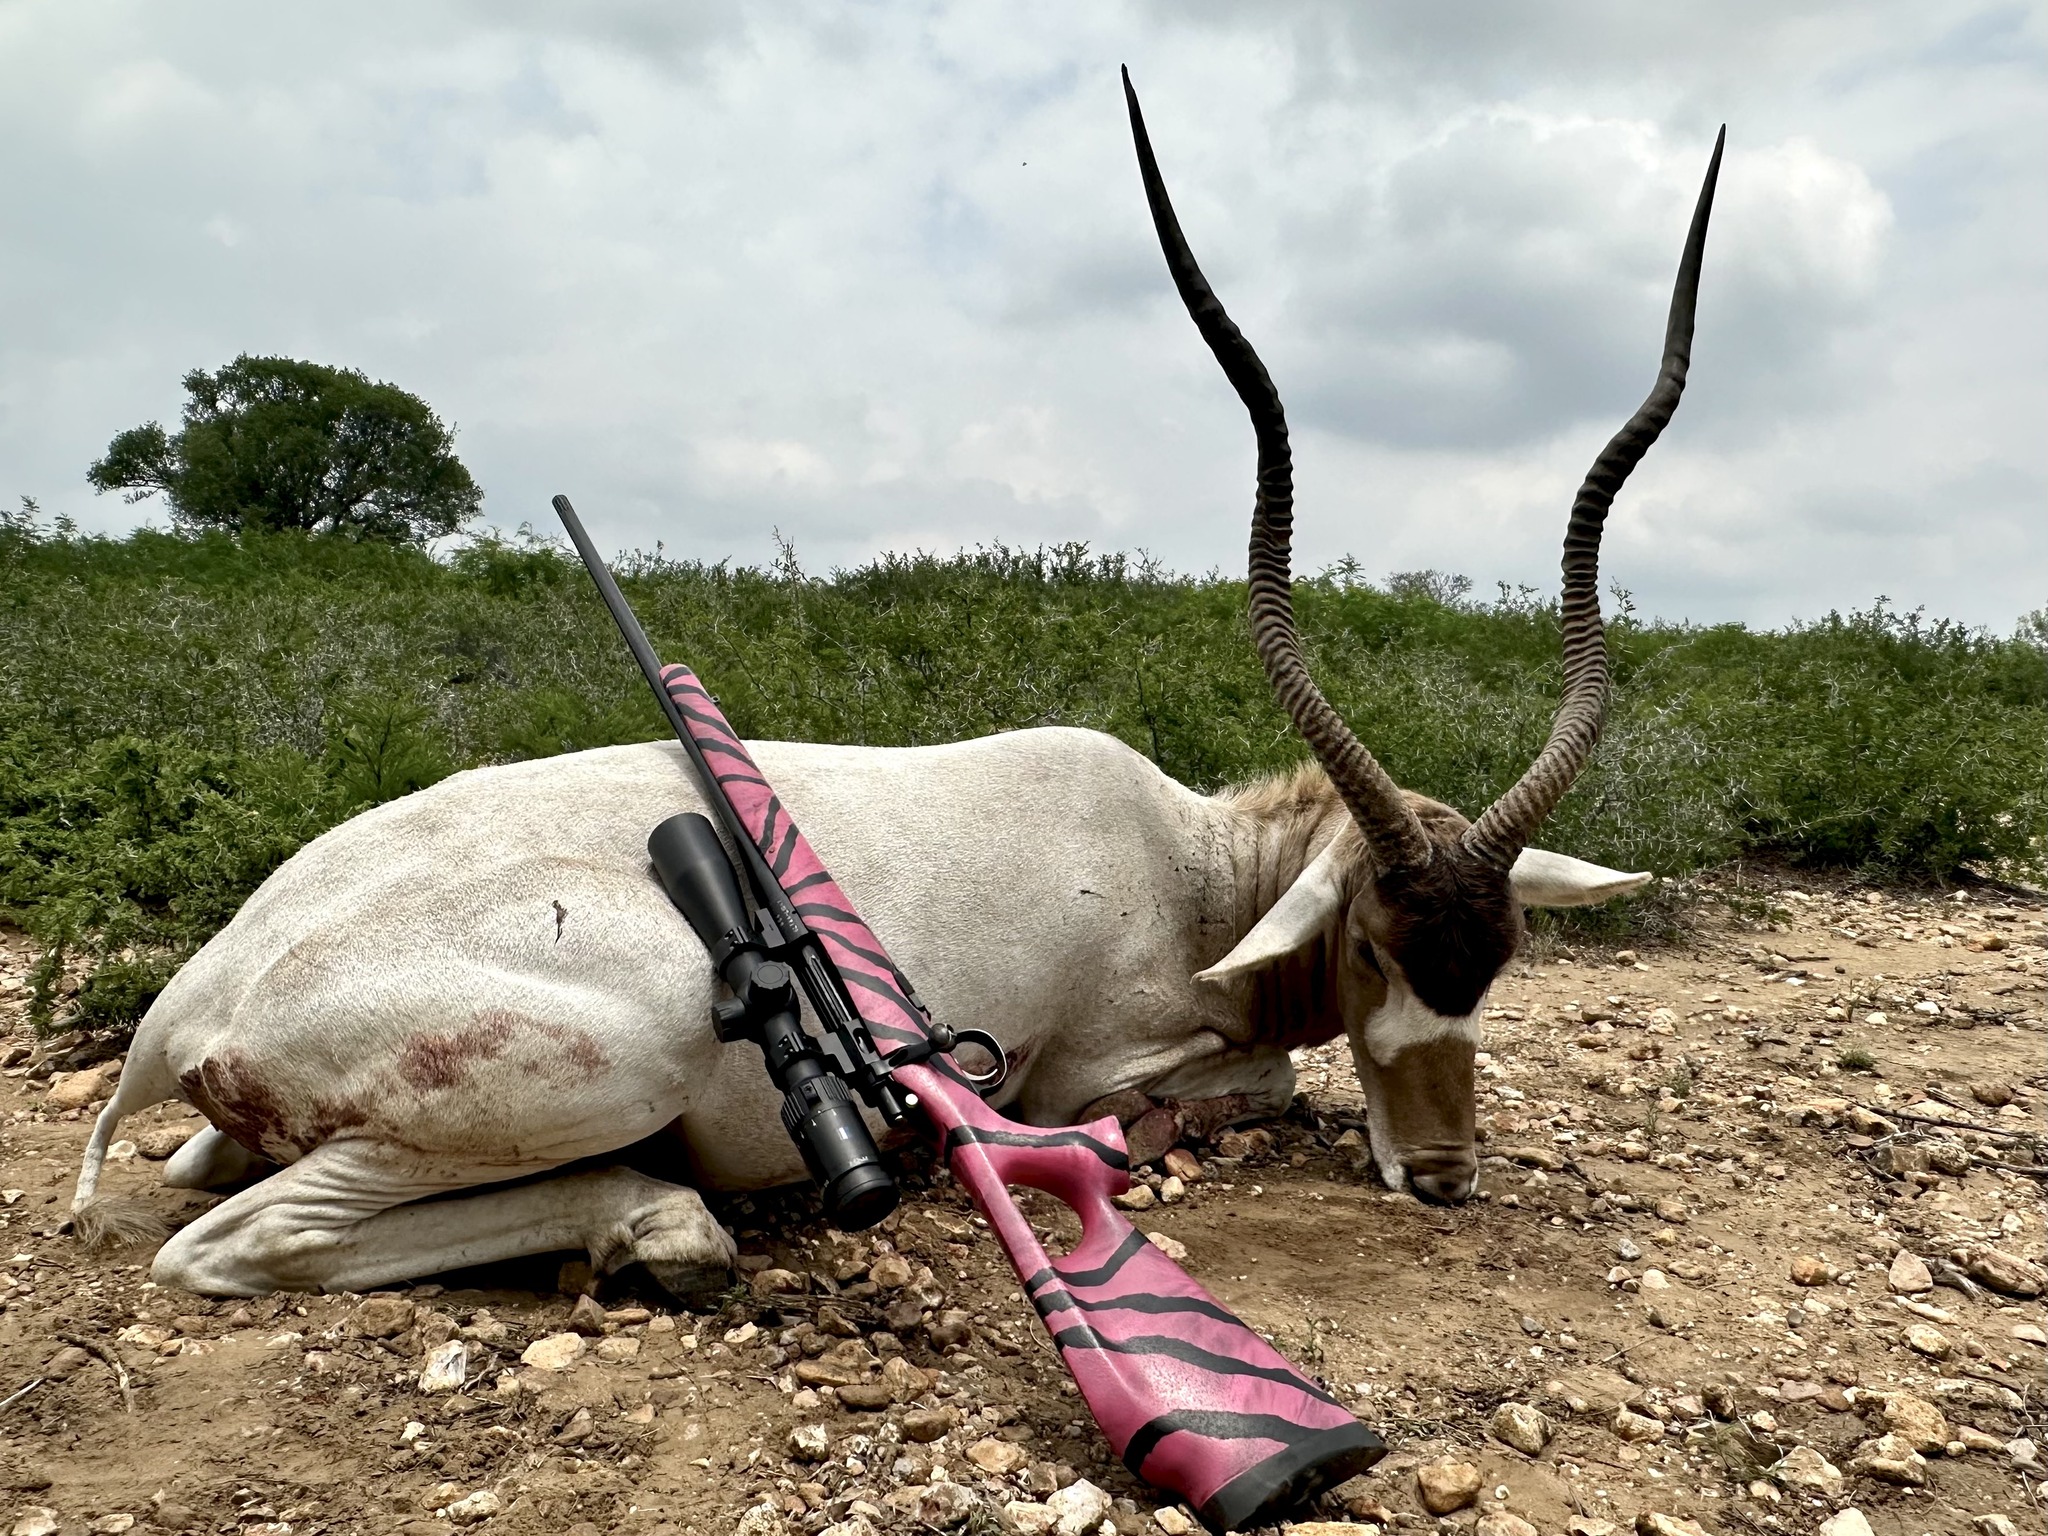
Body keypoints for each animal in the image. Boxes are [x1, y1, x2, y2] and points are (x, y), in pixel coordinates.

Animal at [70, 88, 1721, 1302]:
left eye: (1501, 956)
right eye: (1376, 945)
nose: (1442, 1176)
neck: (1188, 863)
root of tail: (190, 1008)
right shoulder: (1109, 1058)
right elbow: (1247, 1083)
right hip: (627, 1040)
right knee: (235, 1240)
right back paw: (661, 1223)